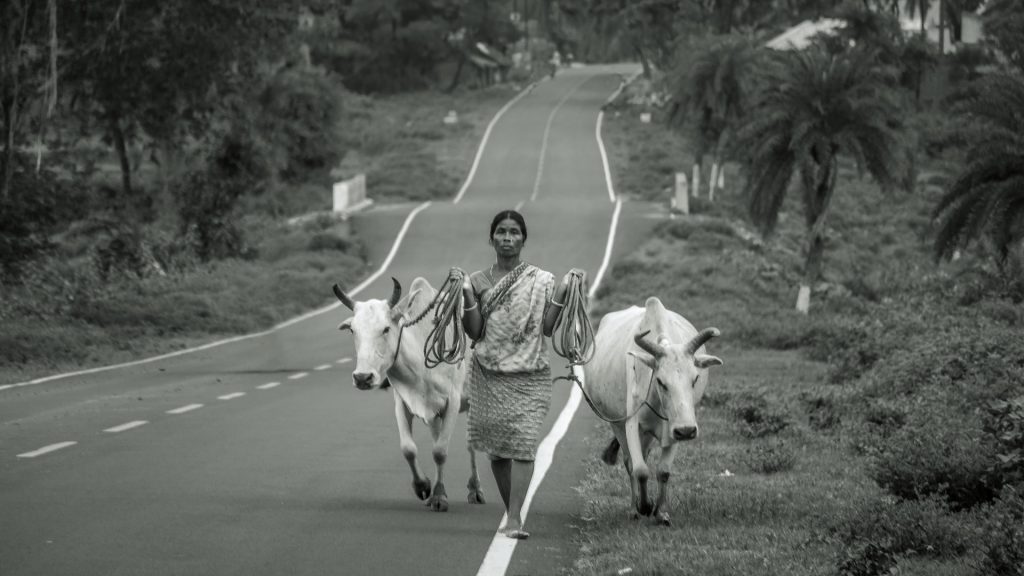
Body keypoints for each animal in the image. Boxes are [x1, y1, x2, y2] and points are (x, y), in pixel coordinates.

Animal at [331, 276, 483, 508]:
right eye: (353, 330)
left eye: (386, 329)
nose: (363, 378)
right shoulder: (403, 403)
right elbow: (409, 448)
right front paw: (423, 486)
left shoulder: (453, 402)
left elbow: (440, 451)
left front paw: (439, 496)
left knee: (470, 445)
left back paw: (475, 489)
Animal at [581, 295, 724, 524]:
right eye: (660, 381)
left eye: (695, 379)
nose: (687, 431)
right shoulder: (631, 424)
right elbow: (639, 470)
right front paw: (644, 506)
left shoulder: (676, 425)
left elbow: (663, 471)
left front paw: (661, 511)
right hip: (618, 425)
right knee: (630, 463)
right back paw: (634, 508)